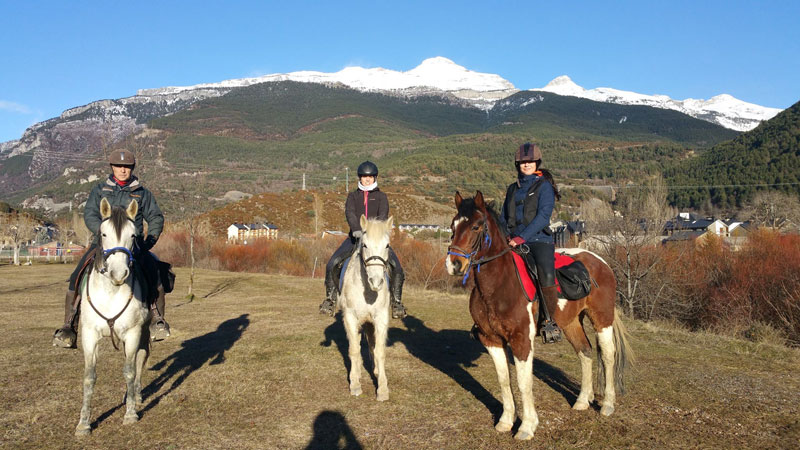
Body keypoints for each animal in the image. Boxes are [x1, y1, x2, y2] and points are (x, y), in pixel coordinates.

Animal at [75, 197, 152, 436]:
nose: (118, 274)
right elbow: (89, 376)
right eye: (104, 233)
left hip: (144, 331)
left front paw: (130, 414)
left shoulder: (133, 332)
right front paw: (83, 423)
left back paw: (135, 395)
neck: (111, 291)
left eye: (133, 235)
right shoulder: (89, 335)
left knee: (140, 359)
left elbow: (129, 371)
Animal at [340, 214, 396, 400]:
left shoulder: (380, 318)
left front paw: (383, 389)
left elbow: (379, 351)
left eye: (387, 245)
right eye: (364, 244)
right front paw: (355, 385)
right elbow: (354, 350)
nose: (376, 282)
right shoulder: (350, 317)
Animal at [446, 192, 628, 442]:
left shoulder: (521, 339)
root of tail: (601, 262)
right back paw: (582, 401)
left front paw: (527, 426)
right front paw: (505, 421)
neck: (498, 285)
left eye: (475, 226)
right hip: (571, 324)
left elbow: (524, 383)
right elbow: (504, 380)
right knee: (585, 351)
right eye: (453, 226)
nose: (454, 265)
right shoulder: (491, 340)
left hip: (602, 319)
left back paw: (608, 404)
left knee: (608, 355)